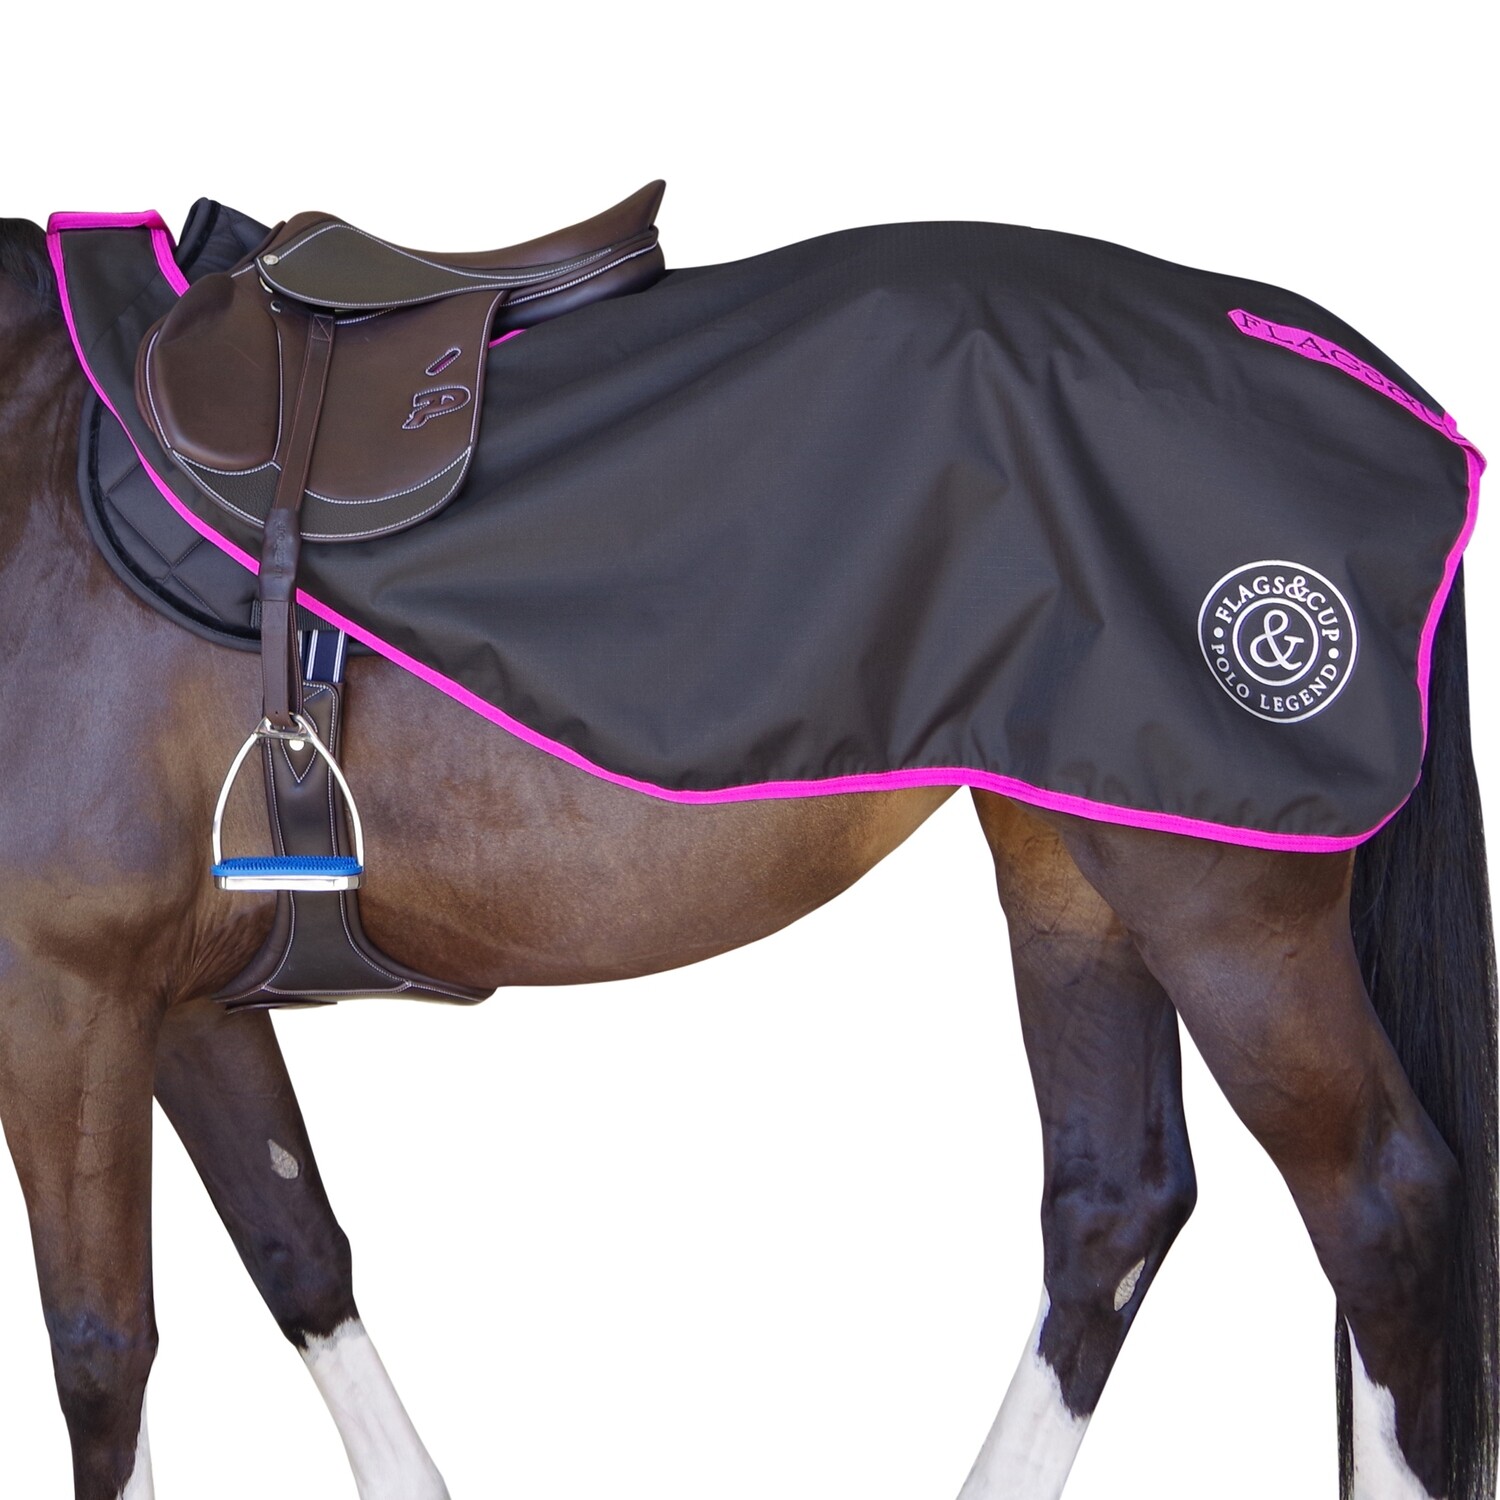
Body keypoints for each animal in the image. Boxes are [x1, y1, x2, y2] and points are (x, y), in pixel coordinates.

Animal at [0, 211, 1494, 1500]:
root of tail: (1361, 372)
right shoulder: (180, 999)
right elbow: (296, 1255)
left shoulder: (62, 994)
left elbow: (99, 1354)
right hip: (1080, 874)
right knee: (1113, 1204)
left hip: (1226, 911)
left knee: (1383, 1210)